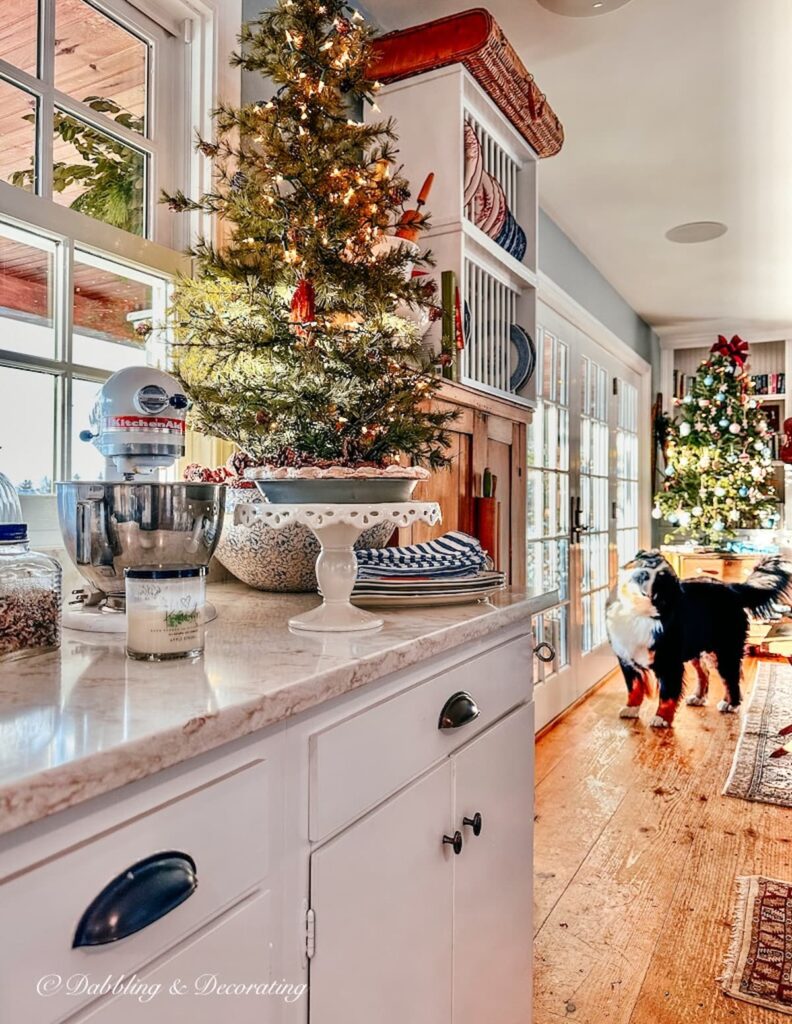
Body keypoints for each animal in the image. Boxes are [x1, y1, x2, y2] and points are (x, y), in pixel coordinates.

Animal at [606, 552, 790, 729]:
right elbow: (634, 687)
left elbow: (667, 694)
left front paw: (661, 718)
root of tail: (731, 588)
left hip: (724, 649)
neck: (637, 613)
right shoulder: (626, 658)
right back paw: (699, 697)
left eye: (660, 578)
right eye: (642, 563)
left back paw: (731, 704)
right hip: (697, 646)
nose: (643, 574)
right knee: (704, 672)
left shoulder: (669, 662)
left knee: (731, 676)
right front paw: (631, 708)